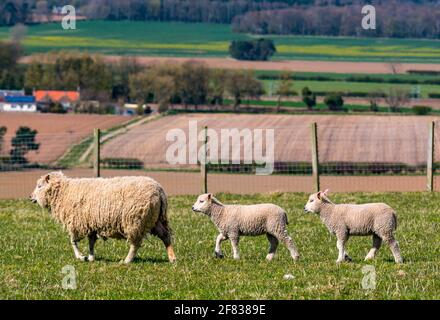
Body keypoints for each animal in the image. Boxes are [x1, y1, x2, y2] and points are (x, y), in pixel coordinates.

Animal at [29, 171, 175, 264]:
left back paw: (127, 260)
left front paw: (80, 257)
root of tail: (159, 190)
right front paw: (91, 257)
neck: (64, 192)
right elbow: (91, 241)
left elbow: (73, 241)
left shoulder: (77, 222)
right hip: (154, 220)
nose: (30, 197)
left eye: (39, 186)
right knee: (165, 235)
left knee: (135, 244)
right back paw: (172, 258)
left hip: (135, 220)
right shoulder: (90, 222)